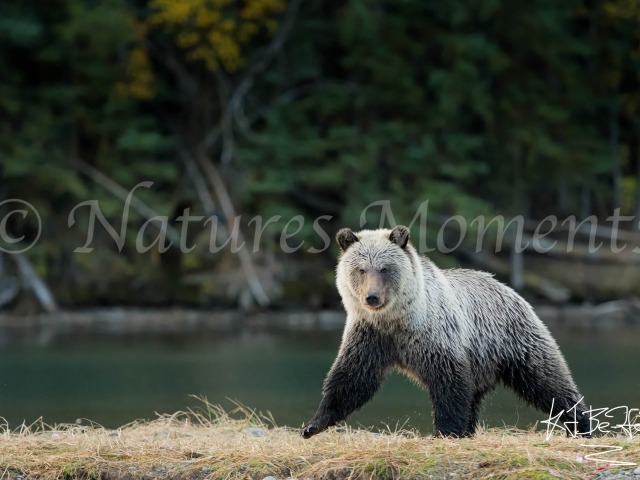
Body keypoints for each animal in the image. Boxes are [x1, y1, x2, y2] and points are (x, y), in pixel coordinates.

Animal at [300, 225, 591, 439]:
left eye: (384, 268)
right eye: (360, 269)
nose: (372, 297)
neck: (396, 319)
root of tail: (507, 286)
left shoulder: (434, 334)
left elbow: (449, 381)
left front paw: (446, 431)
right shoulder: (370, 335)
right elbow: (351, 379)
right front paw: (312, 425)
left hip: (513, 339)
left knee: (547, 380)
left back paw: (581, 424)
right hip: (482, 358)